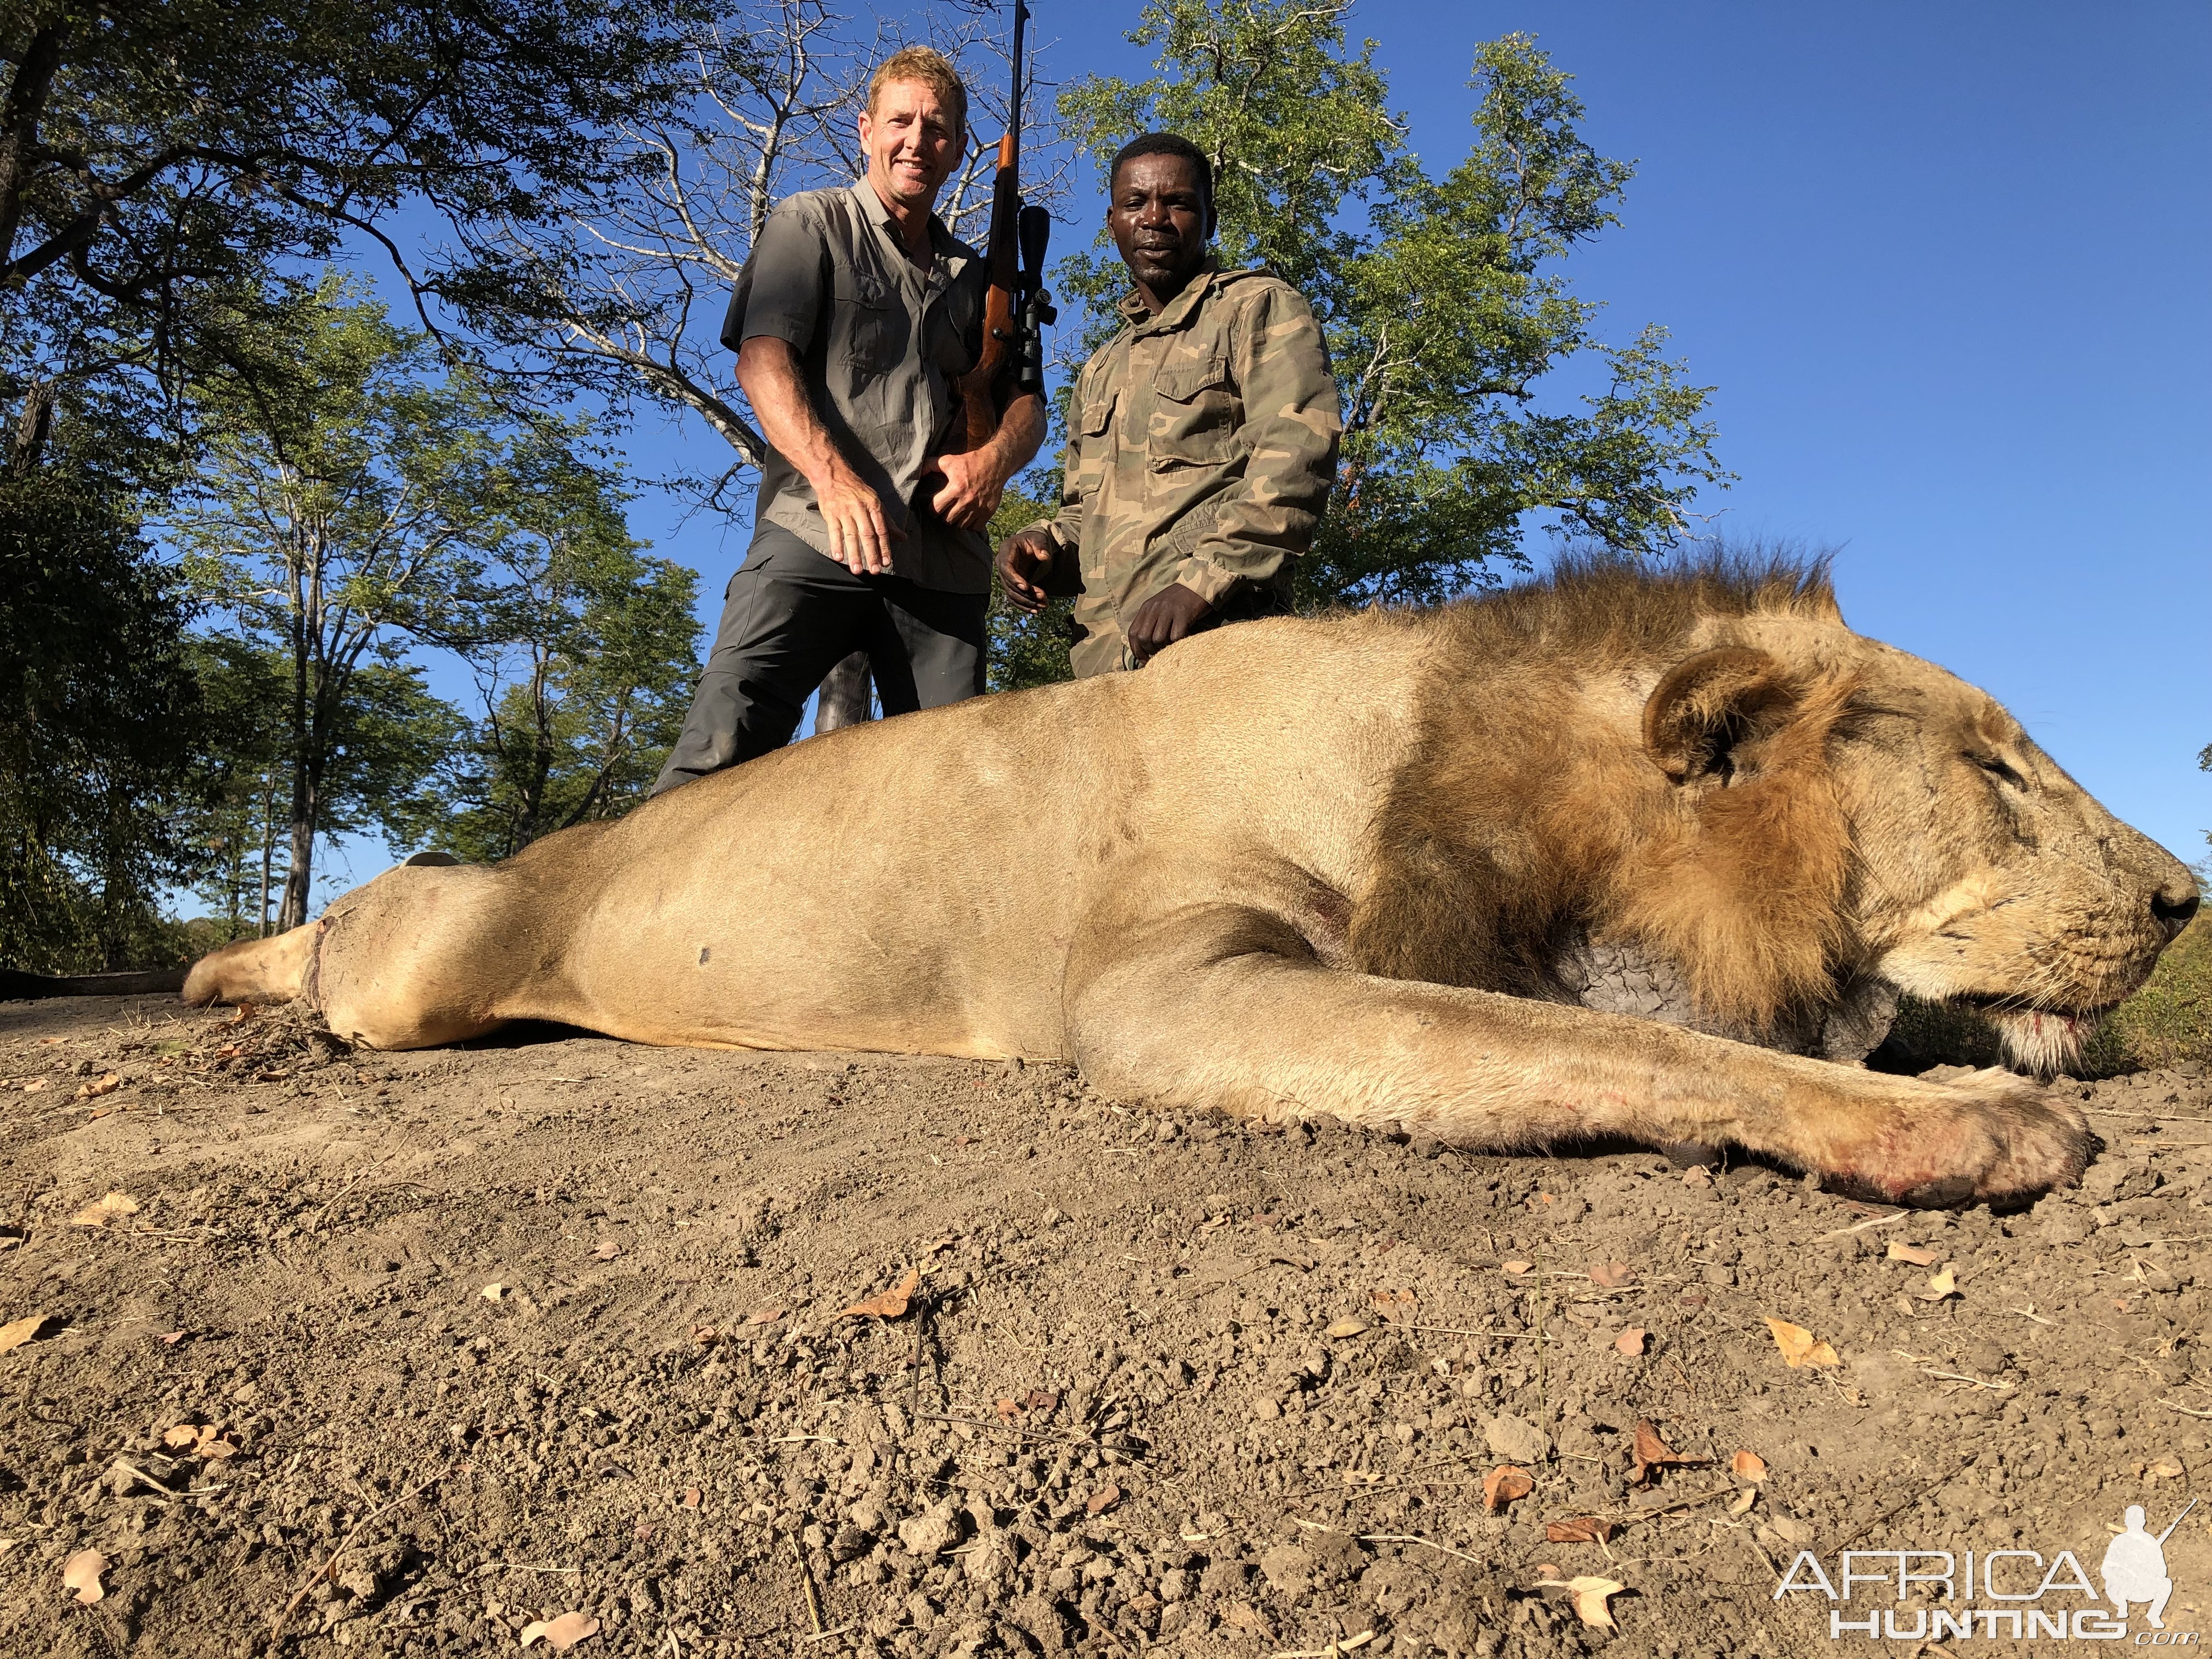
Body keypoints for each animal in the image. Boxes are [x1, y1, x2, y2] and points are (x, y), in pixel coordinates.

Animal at [185, 560, 2194, 1212]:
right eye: (1999, 767)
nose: (2189, 898)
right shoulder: (1167, 987)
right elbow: (1639, 1049)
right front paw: (1957, 1119)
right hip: (434, 958)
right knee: (343, 938)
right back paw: (221, 998)